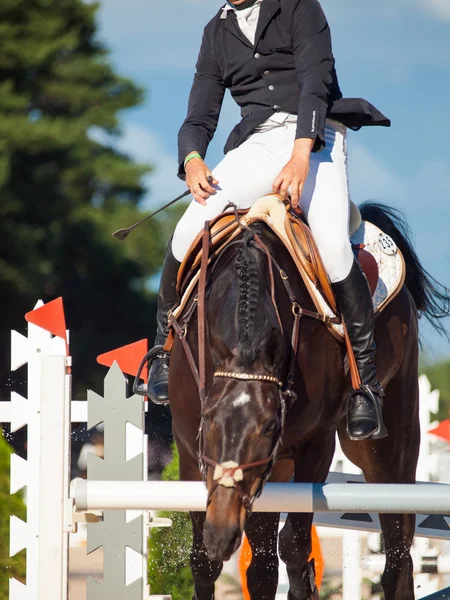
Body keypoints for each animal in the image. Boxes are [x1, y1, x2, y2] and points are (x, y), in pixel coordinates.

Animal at [167, 203, 448, 600]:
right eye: (208, 419)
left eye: (268, 426)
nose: (222, 534)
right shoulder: (192, 448)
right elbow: (211, 563)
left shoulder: (315, 442)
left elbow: (295, 546)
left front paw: (305, 584)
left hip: (388, 445)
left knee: (398, 548)